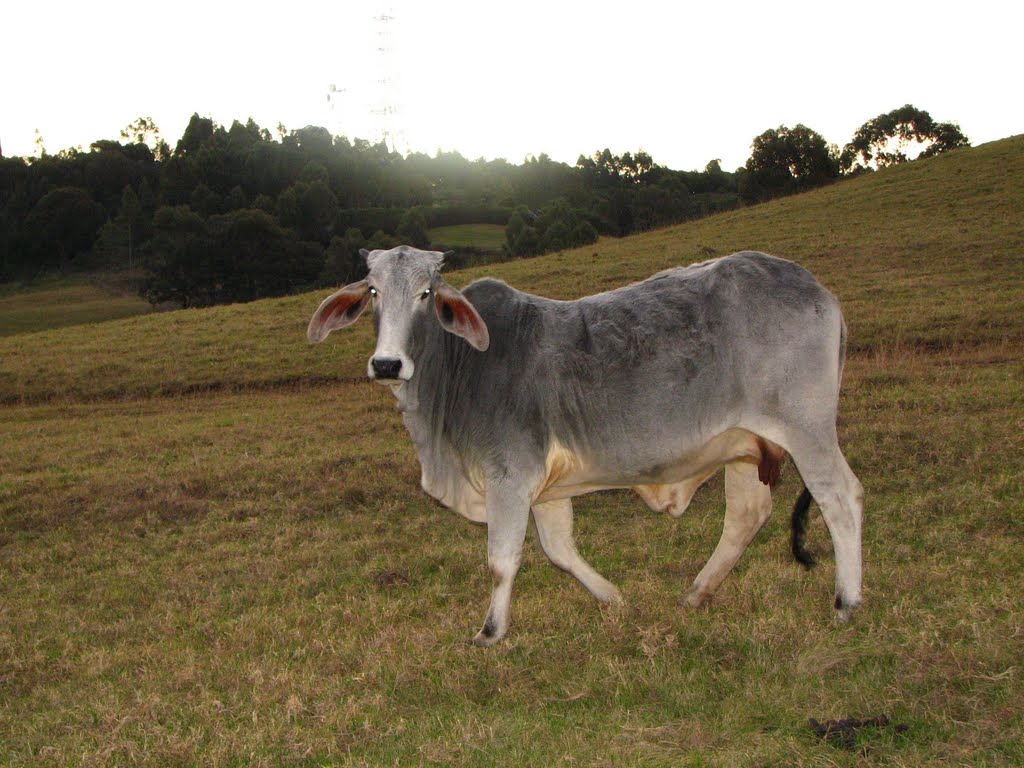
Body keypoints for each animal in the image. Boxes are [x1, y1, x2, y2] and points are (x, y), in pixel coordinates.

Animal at [305, 244, 864, 643]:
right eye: (373, 292)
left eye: (425, 293)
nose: (387, 364)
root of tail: (817, 288)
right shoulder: (545, 489)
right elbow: (558, 550)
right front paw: (614, 598)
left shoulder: (510, 474)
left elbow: (501, 560)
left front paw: (490, 632)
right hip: (748, 445)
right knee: (747, 515)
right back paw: (697, 593)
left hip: (807, 430)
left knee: (841, 497)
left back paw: (846, 601)